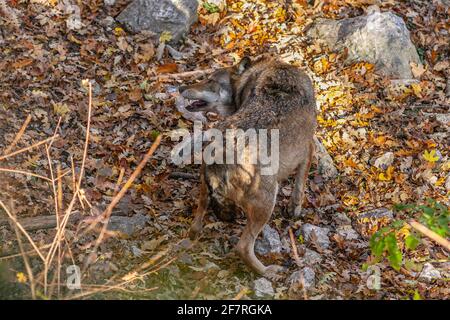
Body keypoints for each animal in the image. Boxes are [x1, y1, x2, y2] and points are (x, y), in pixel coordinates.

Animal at [178, 55, 316, 280]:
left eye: (210, 80)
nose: (181, 87)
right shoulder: (309, 147)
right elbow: (300, 184)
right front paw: (295, 209)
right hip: (268, 202)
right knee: (242, 247)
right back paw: (268, 272)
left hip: (204, 190)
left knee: (196, 223)